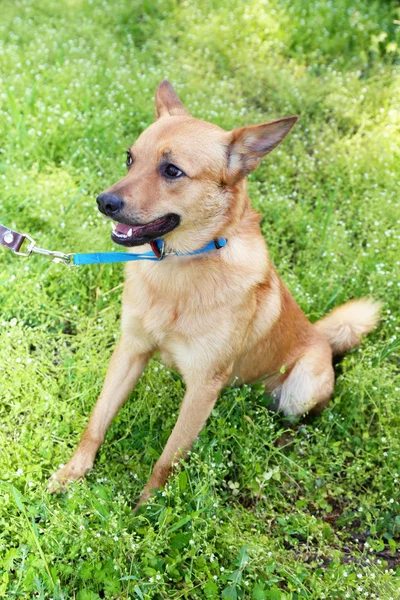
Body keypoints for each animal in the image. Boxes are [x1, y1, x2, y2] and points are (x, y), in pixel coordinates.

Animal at [50, 79, 382, 502]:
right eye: (130, 159)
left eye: (172, 170)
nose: (104, 201)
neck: (179, 267)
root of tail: (321, 337)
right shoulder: (130, 351)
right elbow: (96, 422)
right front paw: (72, 473)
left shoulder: (204, 387)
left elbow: (167, 460)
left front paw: (148, 509)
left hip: (301, 388)